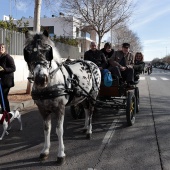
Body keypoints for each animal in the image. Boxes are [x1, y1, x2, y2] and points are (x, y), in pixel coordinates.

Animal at [23, 29, 101, 165]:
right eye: (28, 52)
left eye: (48, 52)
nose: (41, 79)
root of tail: (92, 64)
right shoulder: (43, 110)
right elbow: (46, 129)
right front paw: (45, 151)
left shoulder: (60, 108)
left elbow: (59, 130)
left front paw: (60, 154)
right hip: (83, 97)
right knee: (86, 111)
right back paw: (85, 127)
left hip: (92, 96)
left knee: (90, 112)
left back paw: (89, 131)